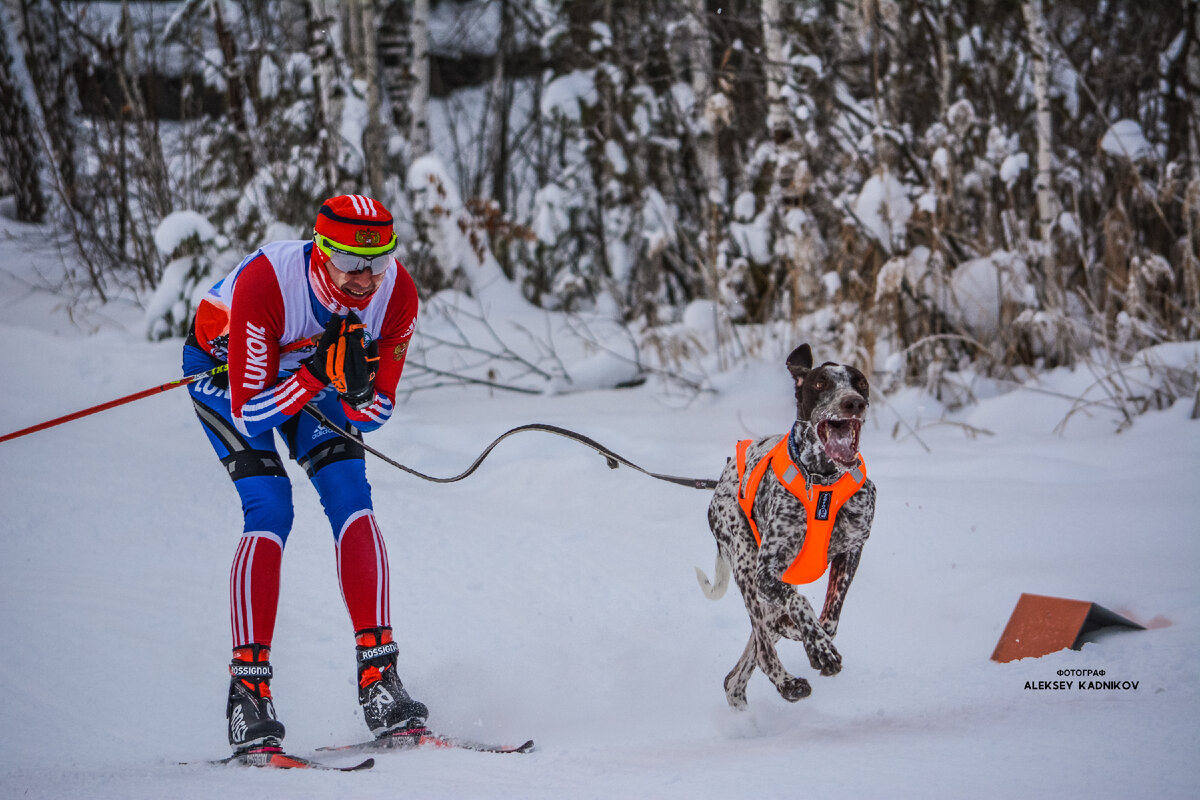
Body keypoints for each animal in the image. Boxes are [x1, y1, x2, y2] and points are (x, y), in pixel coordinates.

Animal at [696, 345, 873, 705]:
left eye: (860, 382)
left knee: (739, 670)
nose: (853, 403)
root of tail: (720, 480)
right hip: (746, 564)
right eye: (820, 384)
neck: (823, 483)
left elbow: (828, 620)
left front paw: (810, 635)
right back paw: (787, 681)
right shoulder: (766, 572)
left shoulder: (852, 550)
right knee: (763, 645)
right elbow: (800, 604)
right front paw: (819, 648)